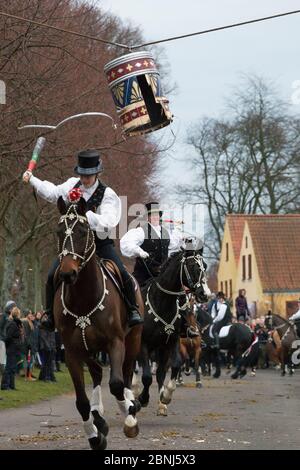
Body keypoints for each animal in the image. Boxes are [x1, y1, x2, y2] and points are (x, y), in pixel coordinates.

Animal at [53, 196, 144, 450]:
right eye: (58, 231)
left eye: (83, 231)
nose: (67, 274)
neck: (84, 299)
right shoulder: (72, 352)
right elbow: (81, 402)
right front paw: (94, 435)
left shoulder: (115, 343)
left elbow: (116, 384)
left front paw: (129, 415)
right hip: (88, 349)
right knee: (95, 371)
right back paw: (99, 417)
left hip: (132, 341)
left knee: (125, 373)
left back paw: (130, 407)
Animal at [137, 250, 210, 414]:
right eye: (193, 266)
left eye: (205, 266)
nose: (205, 294)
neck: (161, 303)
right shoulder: (143, 344)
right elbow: (146, 377)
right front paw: (142, 399)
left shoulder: (172, 342)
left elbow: (176, 366)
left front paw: (166, 396)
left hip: (161, 350)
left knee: (160, 373)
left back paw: (161, 404)